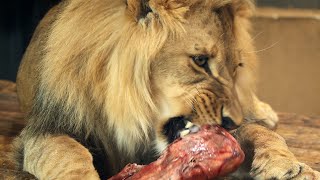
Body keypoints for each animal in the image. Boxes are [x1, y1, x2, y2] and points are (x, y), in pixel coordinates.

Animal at [13, 0, 318, 179]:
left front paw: (291, 168)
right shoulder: (44, 129)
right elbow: (69, 155)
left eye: (235, 67)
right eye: (200, 60)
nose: (232, 121)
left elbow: (261, 133)